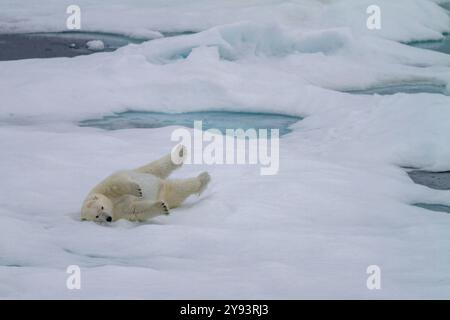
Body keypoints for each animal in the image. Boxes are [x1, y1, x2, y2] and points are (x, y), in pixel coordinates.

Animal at [81, 146, 211, 222]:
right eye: (97, 216)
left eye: (102, 207)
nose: (108, 218)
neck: (112, 203)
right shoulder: (119, 212)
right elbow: (135, 210)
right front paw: (162, 207)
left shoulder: (103, 187)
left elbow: (117, 184)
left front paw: (137, 190)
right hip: (166, 192)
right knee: (178, 190)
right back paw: (202, 180)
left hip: (145, 174)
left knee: (157, 167)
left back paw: (180, 153)